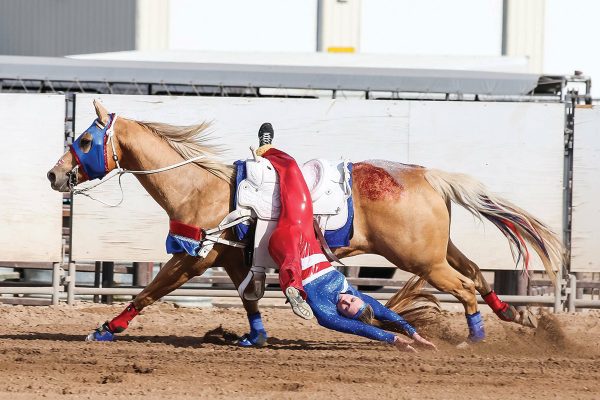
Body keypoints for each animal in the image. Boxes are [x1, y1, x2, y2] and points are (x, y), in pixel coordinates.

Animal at [45, 101, 564, 346]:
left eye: (86, 139)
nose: (54, 174)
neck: (200, 187)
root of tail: (428, 174)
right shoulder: (233, 257)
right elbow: (249, 299)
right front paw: (253, 336)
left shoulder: (194, 259)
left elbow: (149, 291)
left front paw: (106, 328)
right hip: (438, 251)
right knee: (477, 275)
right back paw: (516, 315)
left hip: (422, 259)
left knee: (465, 288)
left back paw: (475, 340)